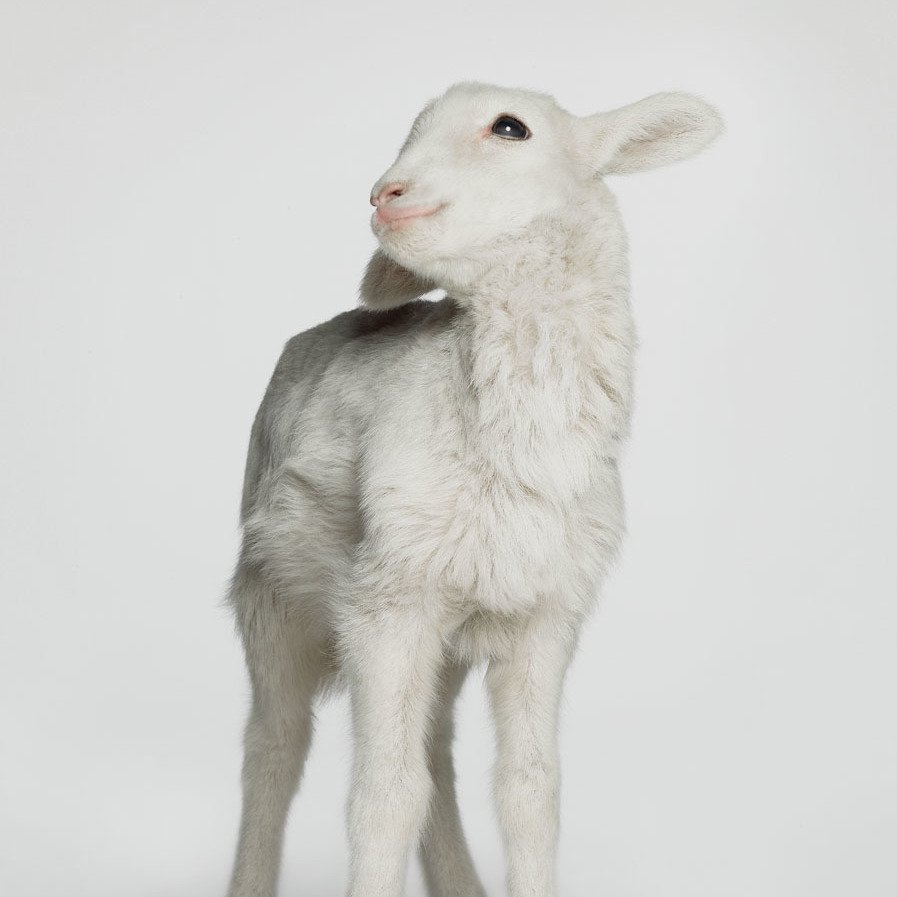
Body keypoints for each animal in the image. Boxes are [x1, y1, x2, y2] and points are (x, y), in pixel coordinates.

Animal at [224, 81, 722, 897]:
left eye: (510, 129)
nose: (384, 194)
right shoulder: (385, 603)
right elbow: (382, 796)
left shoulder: (544, 613)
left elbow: (531, 791)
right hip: (270, 594)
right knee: (273, 751)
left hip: (452, 630)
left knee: (433, 751)